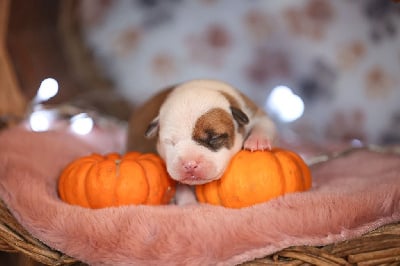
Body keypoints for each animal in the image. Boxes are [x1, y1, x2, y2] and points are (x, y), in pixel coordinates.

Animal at [126, 79, 276, 204]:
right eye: (170, 142)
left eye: (214, 138)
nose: (190, 165)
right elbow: (180, 186)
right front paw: (188, 203)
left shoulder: (252, 111)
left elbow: (264, 122)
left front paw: (258, 140)